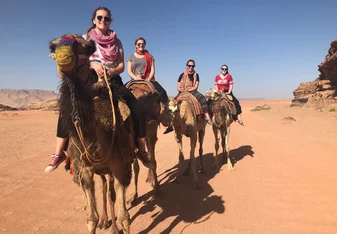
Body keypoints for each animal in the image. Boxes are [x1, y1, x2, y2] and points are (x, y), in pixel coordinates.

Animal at [48, 34, 134, 234]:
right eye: (52, 47)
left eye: (88, 47)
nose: (64, 56)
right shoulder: (84, 170)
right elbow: (91, 219)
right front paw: (99, 220)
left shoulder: (119, 166)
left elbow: (125, 217)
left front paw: (119, 225)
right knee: (103, 188)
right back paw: (104, 220)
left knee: (109, 191)